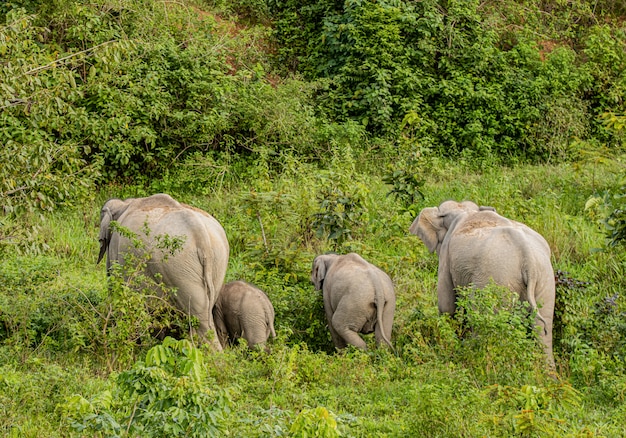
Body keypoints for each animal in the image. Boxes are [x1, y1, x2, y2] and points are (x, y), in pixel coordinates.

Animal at [410, 200, 556, 364]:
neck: (464, 210)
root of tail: (528, 257)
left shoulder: (446, 255)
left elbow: (446, 305)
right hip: (545, 280)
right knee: (542, 329)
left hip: (497, 278)